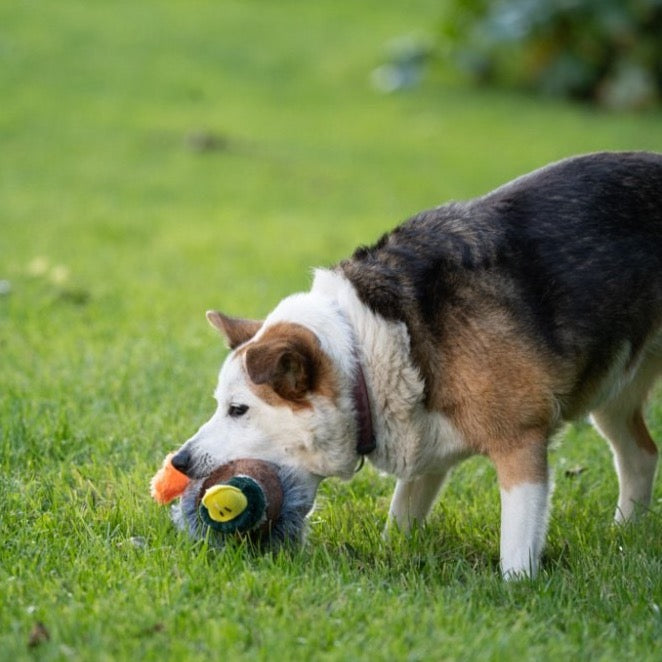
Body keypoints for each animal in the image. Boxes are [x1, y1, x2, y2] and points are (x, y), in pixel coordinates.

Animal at [172, 153, 662, 580]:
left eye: (238, 409)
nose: (180, 461)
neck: (368, 349)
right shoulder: (425, 444)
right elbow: (403, 513)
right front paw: (392, 552)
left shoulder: (521, 442)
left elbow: (517, 543)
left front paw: (517, 587)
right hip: (614, 396)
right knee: (641, 455)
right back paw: (623, 537)